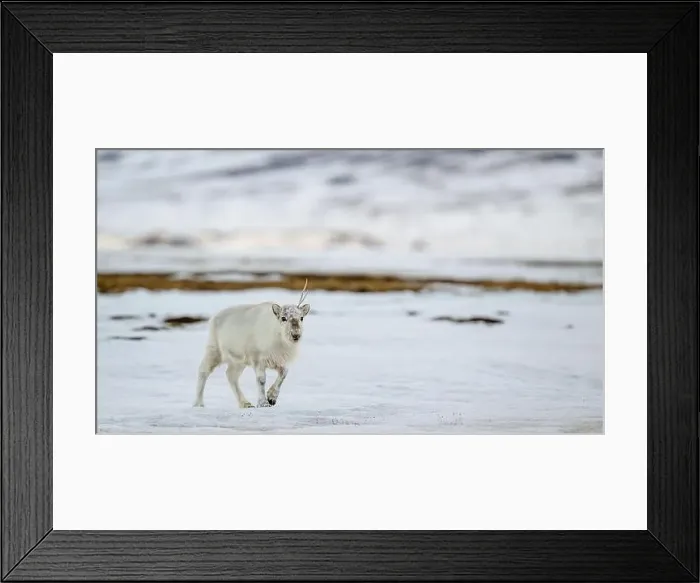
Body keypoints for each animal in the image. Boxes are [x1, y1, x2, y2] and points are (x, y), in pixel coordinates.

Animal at [193, 280, 311, 409]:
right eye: (283, 318)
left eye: (301, 318)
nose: (296, 335)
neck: (279, 339)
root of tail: (213, 318)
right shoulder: (257, 359)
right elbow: (261, 379)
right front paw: (263, 403)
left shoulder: (278, 360)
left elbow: (284, 373)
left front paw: (272, 398)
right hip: (214, 350)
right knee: (203, 371)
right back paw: (199, 403)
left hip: (238, 361)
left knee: (231, 375)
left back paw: (245, 403)